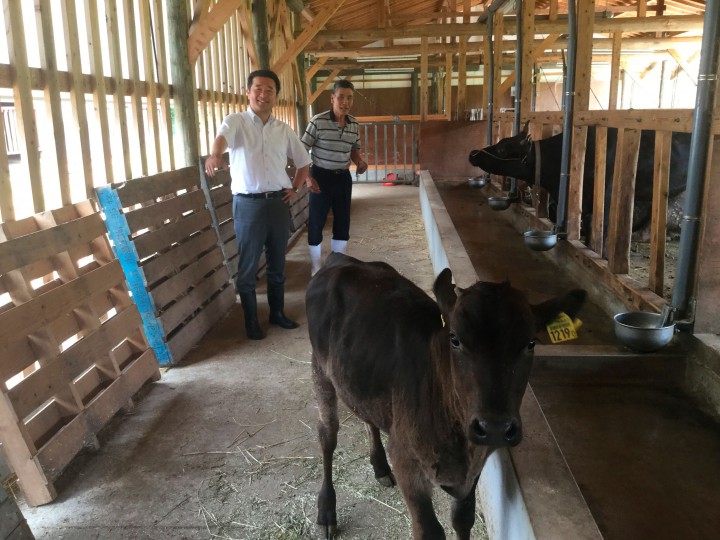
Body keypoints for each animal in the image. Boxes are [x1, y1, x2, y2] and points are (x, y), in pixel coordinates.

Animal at [306, 253, 588, 540]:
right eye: (454, 339)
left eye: (531, 343)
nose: (495, 427)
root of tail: (341, 259)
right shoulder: (406, 460)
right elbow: (430, 530)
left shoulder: (472, 470)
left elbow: (463, 519)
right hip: (319, 368)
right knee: (327, 433)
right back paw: (326, 510)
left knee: (367, 418)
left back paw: (380, 467)